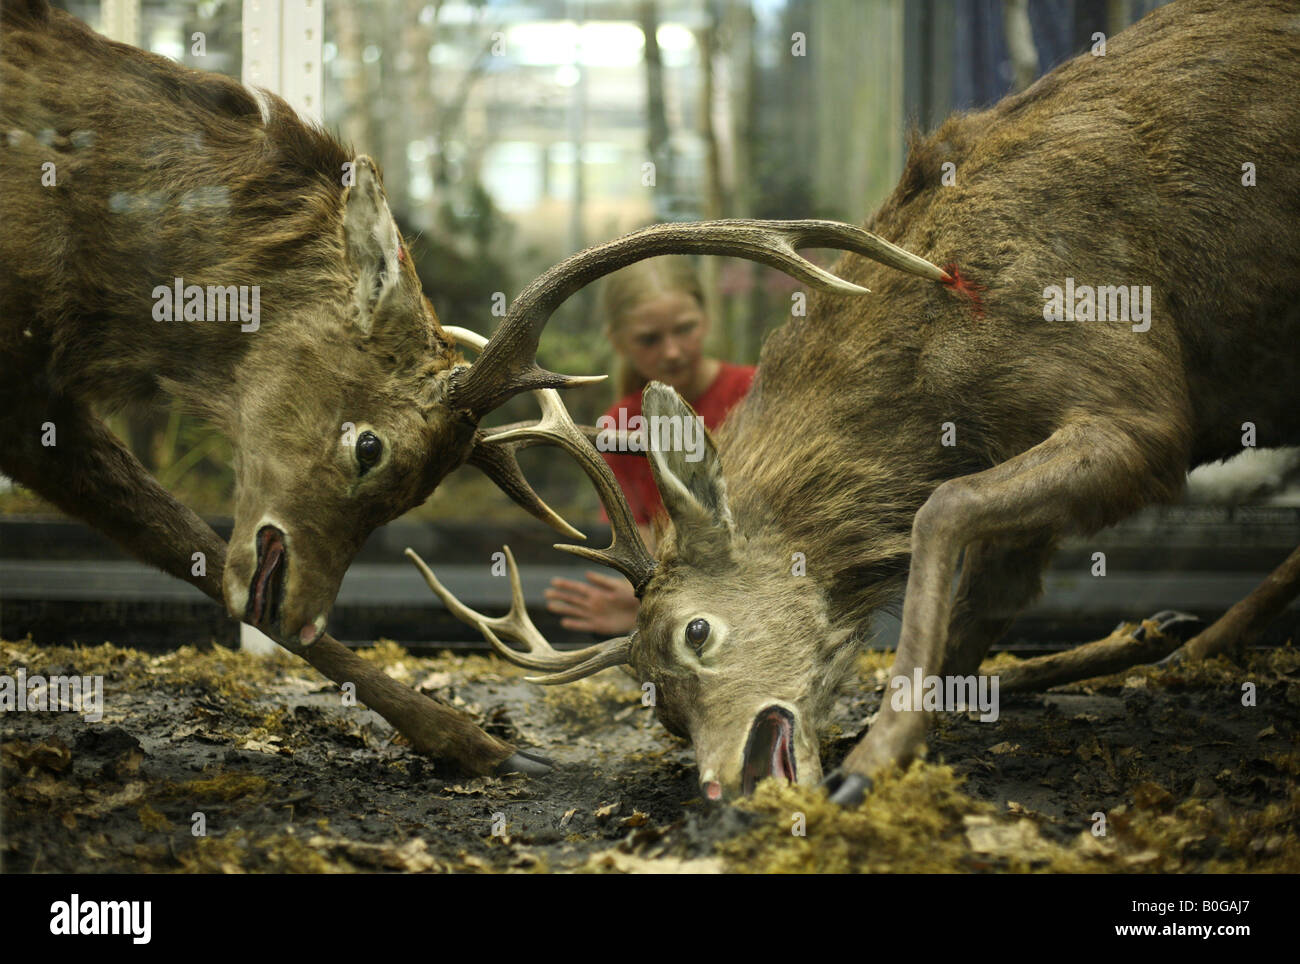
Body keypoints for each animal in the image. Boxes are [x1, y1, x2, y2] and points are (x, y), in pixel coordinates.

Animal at [0, 0, 925, 777]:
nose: (298, 613)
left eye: (417, 494)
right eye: (369, 445)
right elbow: (173, 531)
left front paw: (486, 745)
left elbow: (174, 536)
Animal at [410, 0, 1300, 801]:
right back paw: (1177, 641)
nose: (723, 786)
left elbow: (944, 511)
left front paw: (873, 760)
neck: (946, 360)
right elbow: (989, 601)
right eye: (660, 710)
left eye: (696, 630)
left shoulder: (1138, 401)